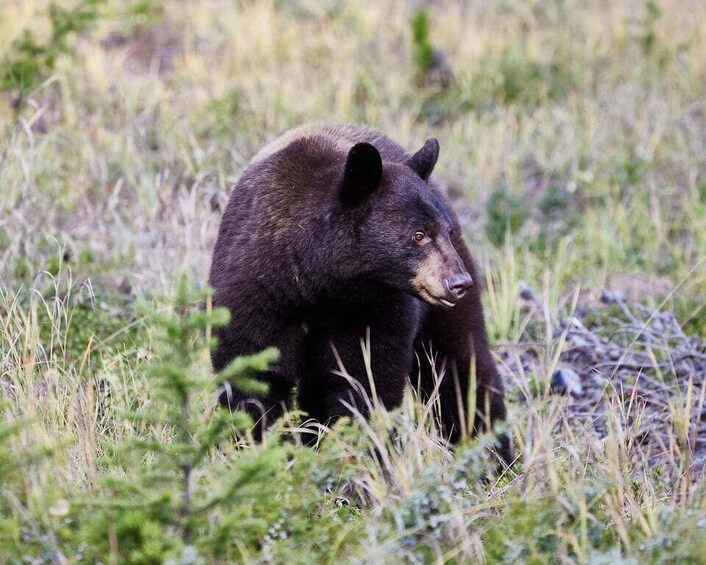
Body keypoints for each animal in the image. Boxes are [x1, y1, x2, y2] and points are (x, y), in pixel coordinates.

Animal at [206, 122, 508, 462]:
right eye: (418, 235)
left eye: (446, 232)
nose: (458, 282)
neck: (316, 284)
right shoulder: (256, 296)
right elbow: (253, 377)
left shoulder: (372, 309)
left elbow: (364, 379)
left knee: (461, 366)